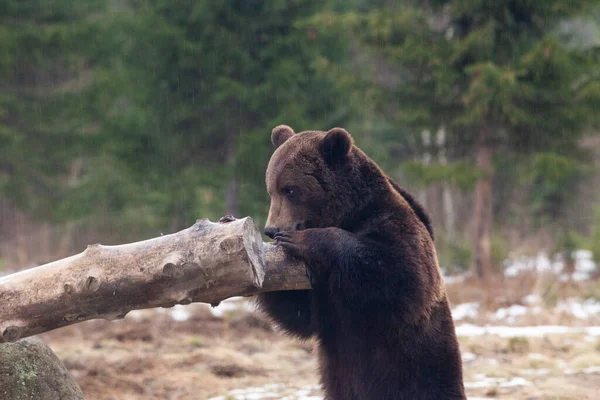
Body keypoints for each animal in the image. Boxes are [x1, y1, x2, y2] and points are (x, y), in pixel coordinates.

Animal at [255, 125, 466, 400]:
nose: (272, 230)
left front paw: (300, 239)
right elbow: (299, 313)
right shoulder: (324, 297)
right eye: (271, 189)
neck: (349, 214)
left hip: (421, 371)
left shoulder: (394, 228)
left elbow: (403, 276)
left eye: (290, 189)